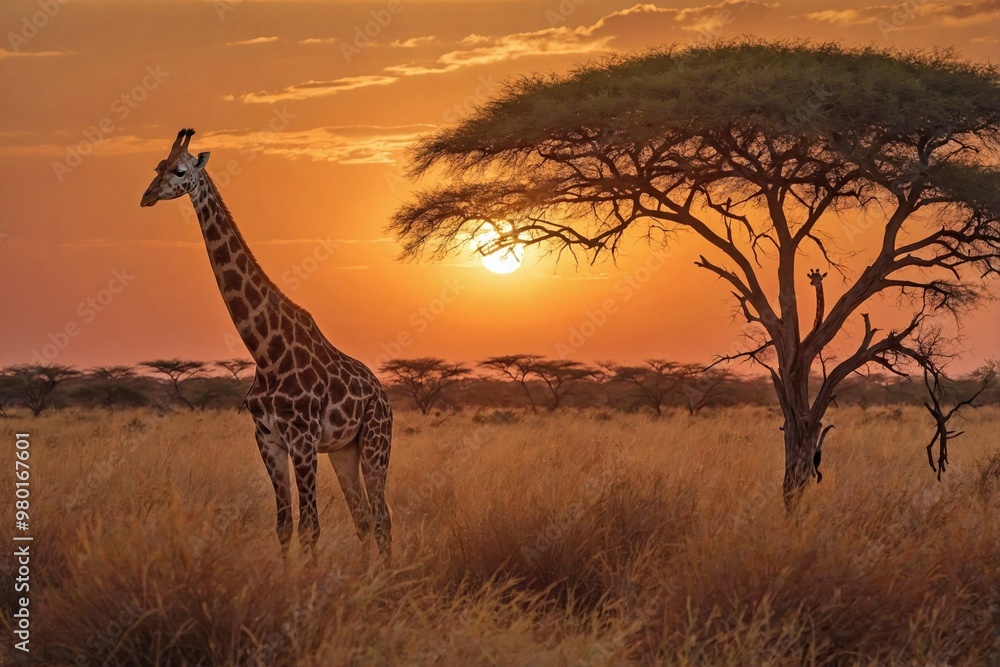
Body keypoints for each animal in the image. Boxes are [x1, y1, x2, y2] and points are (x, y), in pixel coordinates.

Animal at [140, 129, 392, 564]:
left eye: (181, 170)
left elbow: (310, 527)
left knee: (383, 519)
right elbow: (284, 526)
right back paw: (366, 576)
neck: (265, 352)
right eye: (157, 166)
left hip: (377, 442)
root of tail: (384, 394)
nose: (148, 195)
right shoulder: (268, 439)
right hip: (345, 449)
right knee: (362, 518)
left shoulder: (302, 439)